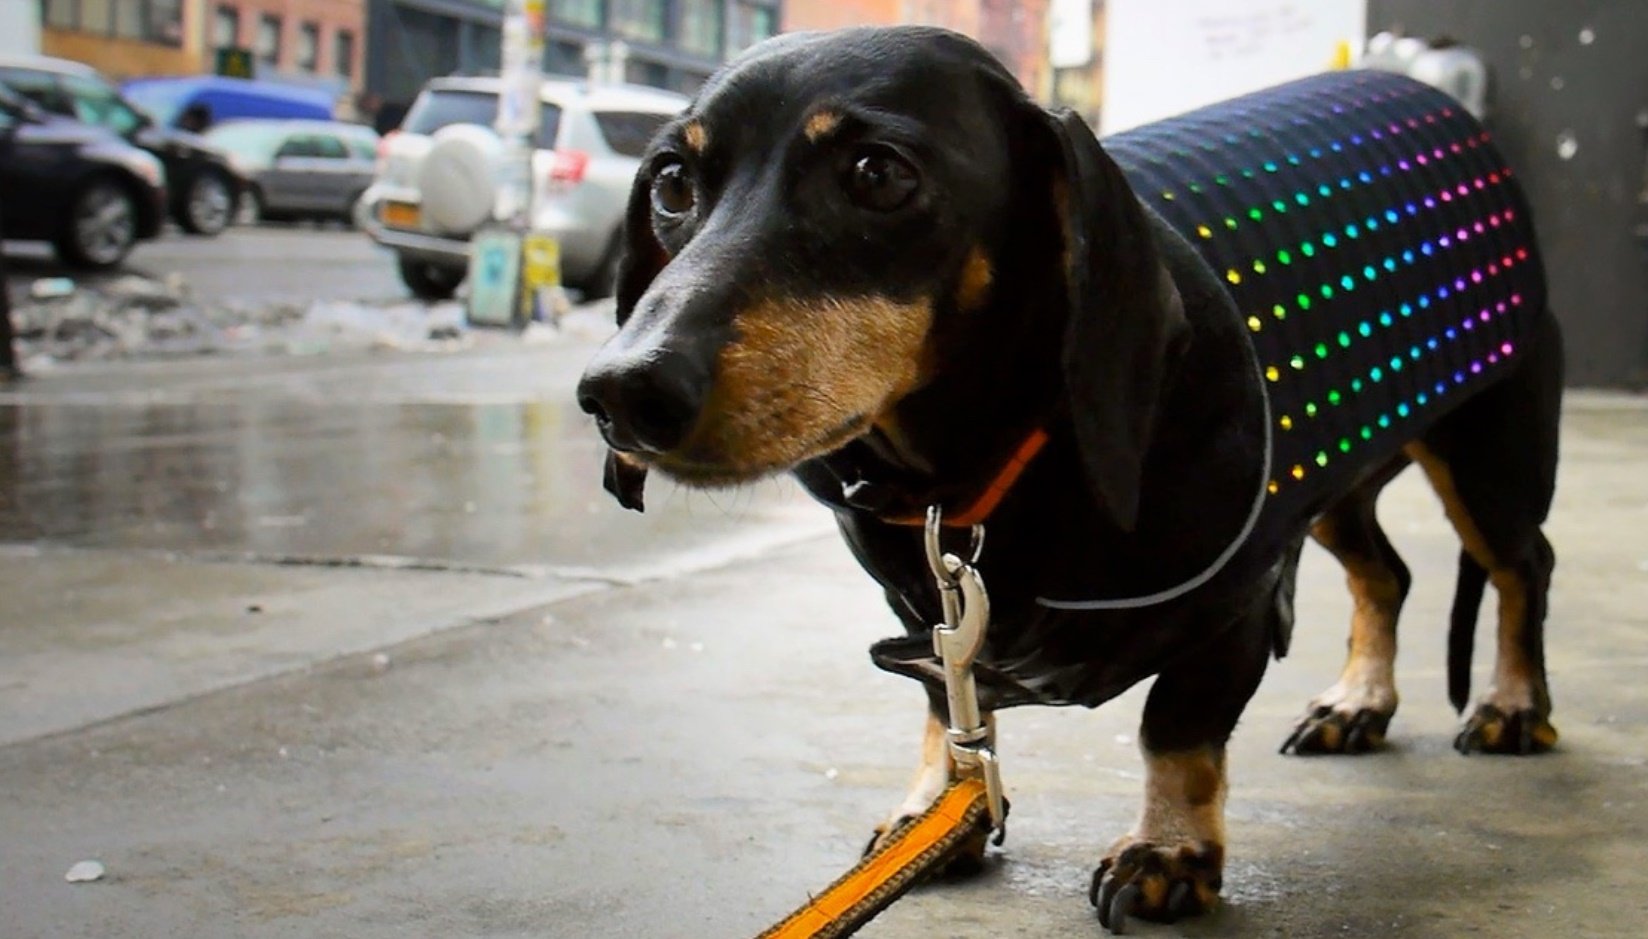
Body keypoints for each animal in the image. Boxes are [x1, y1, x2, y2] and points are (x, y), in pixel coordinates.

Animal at [576, 27, 1555, 929]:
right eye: (672, 184)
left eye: (878, 174)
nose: (621, 391)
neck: (983, 468)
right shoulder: (927, 616)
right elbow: (945, 703)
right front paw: (937, 809)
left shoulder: (1236, 598)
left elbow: (1176, 729)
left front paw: (1167, 851)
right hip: (1333, 475)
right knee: (1385, 574)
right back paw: (1360, 702)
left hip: (1485, 454)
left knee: (1520, 568)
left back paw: (1511, 705)